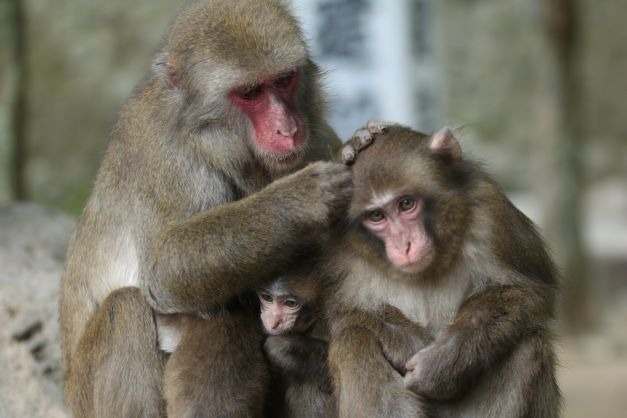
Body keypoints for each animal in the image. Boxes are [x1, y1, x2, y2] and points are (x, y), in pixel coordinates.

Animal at [58, 1, 354, 416]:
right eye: (250, 93)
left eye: (283, 81)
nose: (287, 129)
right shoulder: (167, 156)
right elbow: (164, 268)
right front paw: (302, 197)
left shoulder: (317, 136)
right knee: (126, 307)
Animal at [326, 125, 560, 418]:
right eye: (376, 216)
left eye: (406, 204)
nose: (405, 246)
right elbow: (341, 314)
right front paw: (409, 342)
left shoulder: (492, 214)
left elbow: (526, 292)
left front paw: (443, 363)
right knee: (353, 338)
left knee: (526, 341)